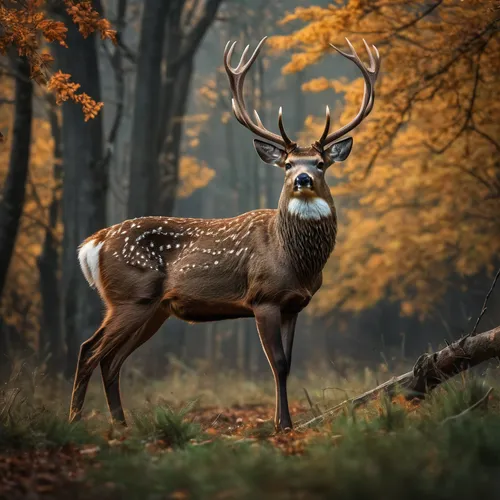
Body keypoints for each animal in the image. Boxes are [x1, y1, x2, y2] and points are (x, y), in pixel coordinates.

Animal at [71, 37, 378, 432]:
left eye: (321, 163)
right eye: (287, 164)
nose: (302, 178)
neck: (295, 261)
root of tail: (93, 244)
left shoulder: (294, 304)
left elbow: (288, 363)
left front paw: (285, 423)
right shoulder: (263, 297)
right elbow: (277, 363)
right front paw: (283, 425)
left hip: (153, 309)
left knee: (112, 360)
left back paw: (122, 426)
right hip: (130, 296)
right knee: (89, 350)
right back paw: (75, 422)